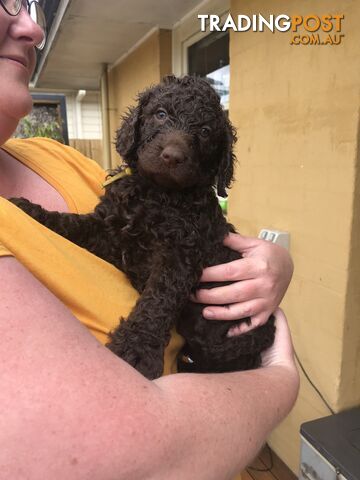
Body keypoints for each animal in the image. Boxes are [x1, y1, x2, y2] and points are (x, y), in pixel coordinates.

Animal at [9, 75, 274, 376]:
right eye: (160, 114)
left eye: (206, 132)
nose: (172, 156)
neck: (156, 193)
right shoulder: (108, 231)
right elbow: (71, 224)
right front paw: (29, 209)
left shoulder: (179, 255)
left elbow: (157, 301)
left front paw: (136, 349)